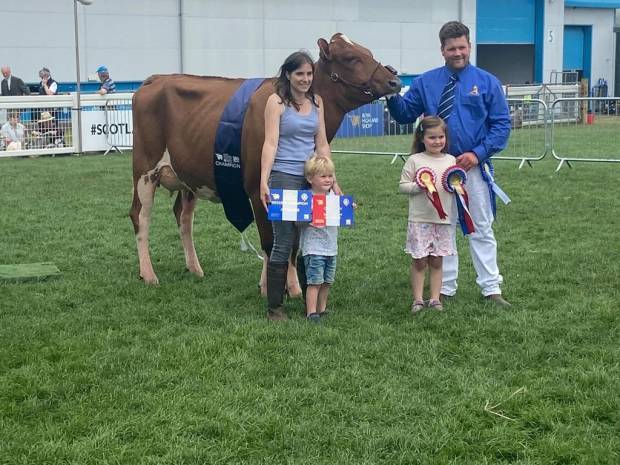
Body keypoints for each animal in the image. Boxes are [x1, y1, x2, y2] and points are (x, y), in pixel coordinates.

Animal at [130, 33, 402, 290]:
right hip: (144, 168)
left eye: (368, 52)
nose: (395, 81)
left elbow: (291, 242)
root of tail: (156, 79)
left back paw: (195, 268)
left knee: (183, 217)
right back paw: (148, 274)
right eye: (350, 58)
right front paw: (273, 287)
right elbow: (270, 241)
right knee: (140, 215)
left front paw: (289, 286)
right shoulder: (255, 189)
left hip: (188, 175)